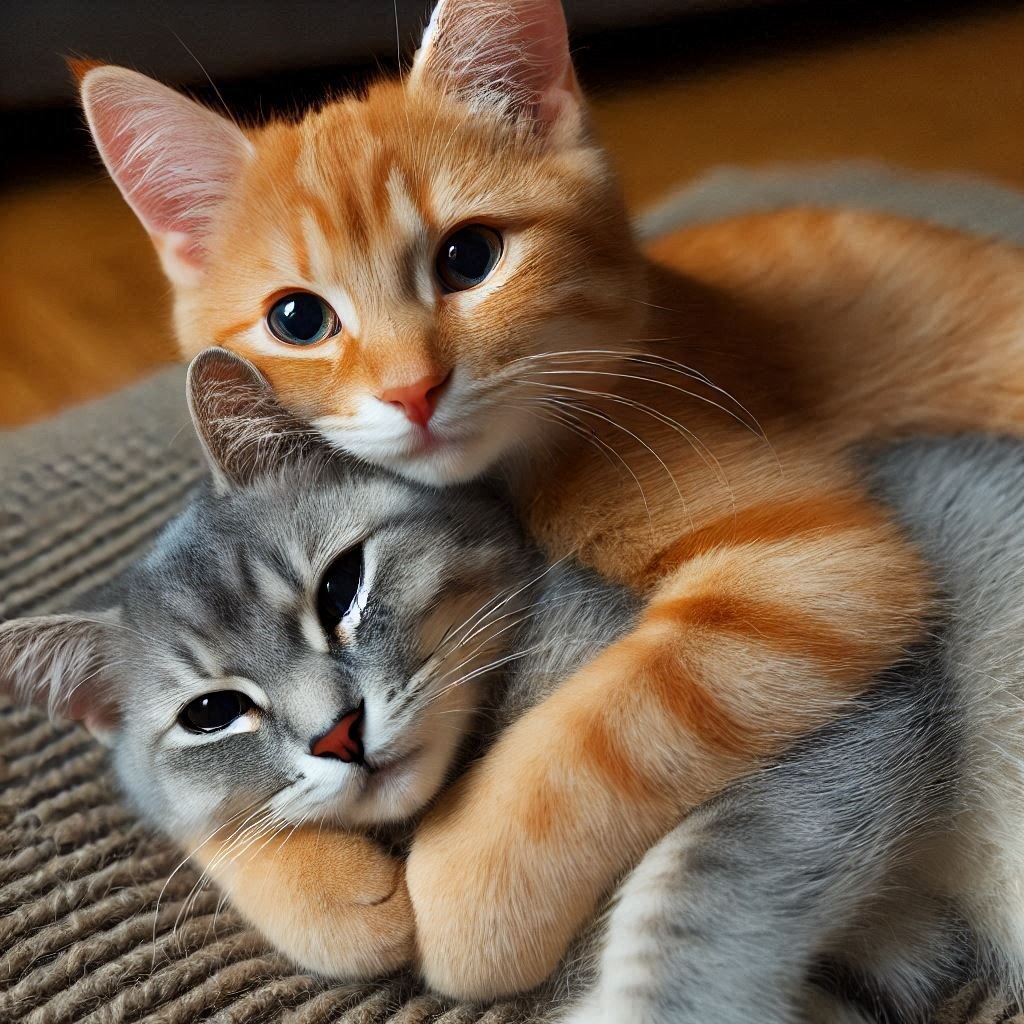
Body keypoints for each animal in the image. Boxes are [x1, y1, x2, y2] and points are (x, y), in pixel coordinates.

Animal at [2, 351, 1022, 1023]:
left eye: (341, 586)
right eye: (212, 714)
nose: (337, 733)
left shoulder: (852, 721)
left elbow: (681, 924)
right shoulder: (899, 952)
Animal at [74, 0, 1024, 997]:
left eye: (470, 257)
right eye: (298, 319)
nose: (413, 390)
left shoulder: (826, 569)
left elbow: (606, 728)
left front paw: (469, 900)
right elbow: (187, 792)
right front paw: (311, 881)